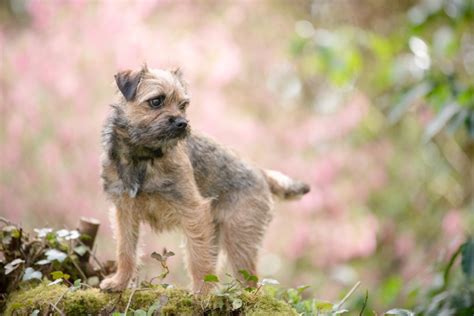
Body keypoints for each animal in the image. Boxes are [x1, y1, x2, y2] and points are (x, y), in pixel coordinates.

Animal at [98, 65, 310, 294]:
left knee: (250, 282)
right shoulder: (124, 212)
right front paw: (119, 282)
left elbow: (198, 259)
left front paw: (201, 295)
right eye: (156, 101)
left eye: (183, 105)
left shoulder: (194, 212)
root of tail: (261, 172)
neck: (143, 156)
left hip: (240, 238)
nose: (182, 123)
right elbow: (126, 250)